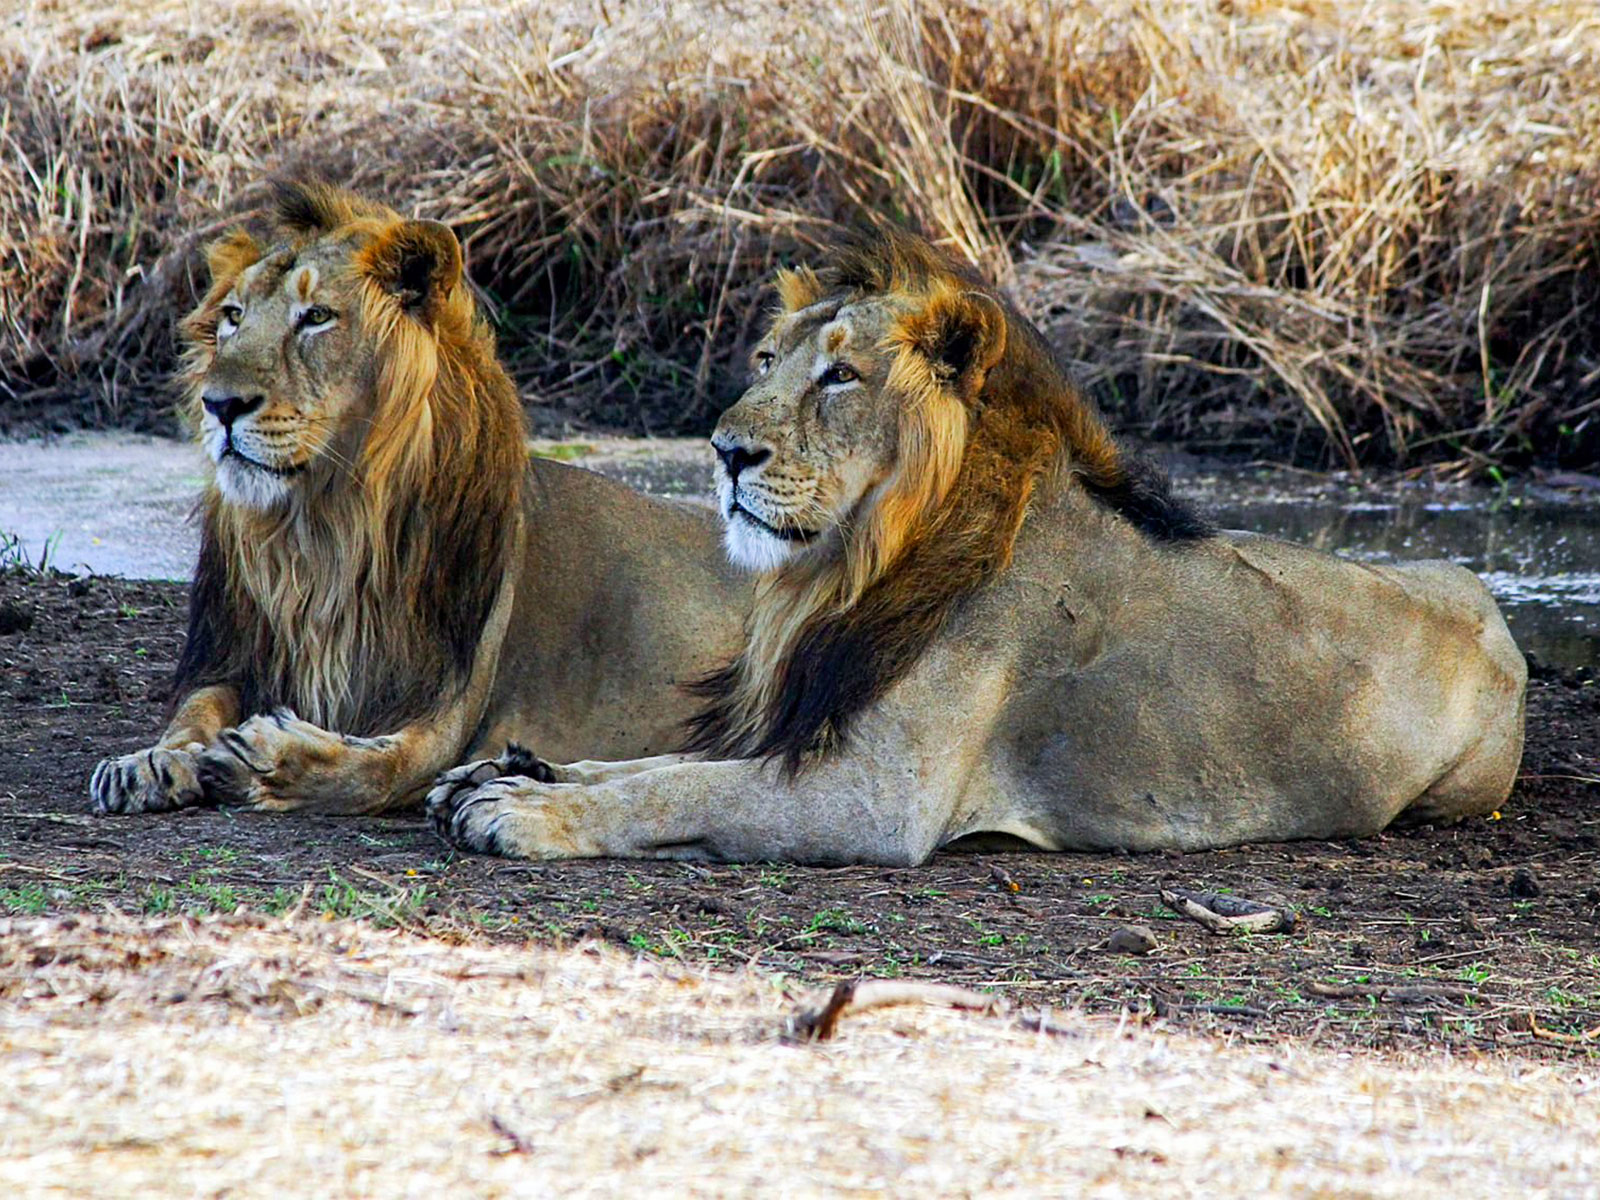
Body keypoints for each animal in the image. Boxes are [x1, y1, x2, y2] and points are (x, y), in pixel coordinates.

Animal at [90, 181, 745, 817]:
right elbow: (194, 708)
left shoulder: (448, 706)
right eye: (232, 316)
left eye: (316, 316)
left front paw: (269, 759)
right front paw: (151, 760)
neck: (324, 528)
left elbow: (380, 767)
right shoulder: (237, 655)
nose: (219, 404)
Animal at [425, 230, 1528, 865]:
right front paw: (512, 774)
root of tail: (1488, 603)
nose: (725, 450)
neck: (846, 570)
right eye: (766, 359)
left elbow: (683, 784)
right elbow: (655, 760)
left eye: (841, 377)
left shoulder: (880, 803)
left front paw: (526, 814)